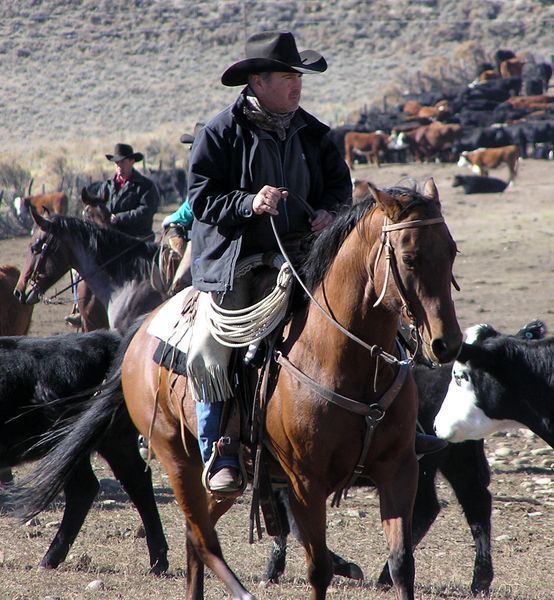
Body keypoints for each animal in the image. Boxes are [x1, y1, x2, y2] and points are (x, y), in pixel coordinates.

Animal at [0, 330, 168, 576]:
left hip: (74, 444)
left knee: (86, 488)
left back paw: (49, 559)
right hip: (111, 440)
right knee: (134, 480)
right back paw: (158, 561)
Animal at [115, 179, 458, 600]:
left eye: (451, 251)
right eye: (408, 258)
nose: (446, 344)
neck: (340, 358)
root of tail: (141, 334)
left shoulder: (399, 469)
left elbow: (401, 565)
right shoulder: (306, 483)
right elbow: (319, 569)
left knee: (196, 535)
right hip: (177, 458)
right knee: (204, 538)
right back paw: (243, 592)